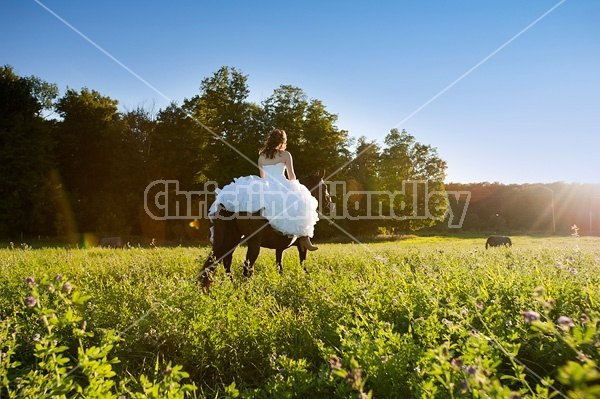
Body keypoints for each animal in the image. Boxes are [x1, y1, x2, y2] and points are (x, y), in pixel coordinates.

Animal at [202, 170, 332, 290]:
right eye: (324, 187)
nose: (330, 206)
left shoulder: (279, 248)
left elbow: (280, 267)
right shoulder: (301, 246)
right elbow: (303, 264)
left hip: (233, 238)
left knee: (226, 262)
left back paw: (232, 286)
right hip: (253, 241)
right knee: (247, 267)